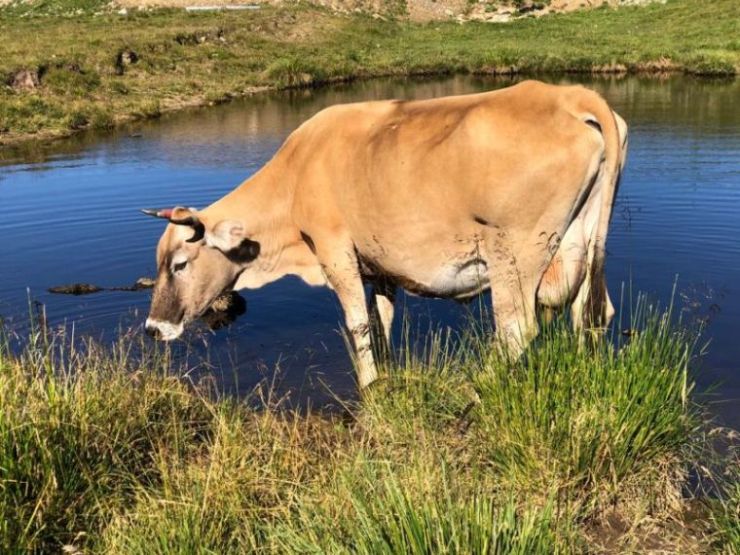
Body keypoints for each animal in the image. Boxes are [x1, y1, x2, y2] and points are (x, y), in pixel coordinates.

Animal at [142, 80, 628, 388]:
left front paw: (370, 386)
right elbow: (382, 321)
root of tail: (569, 95)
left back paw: (478, 386)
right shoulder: (379, 267)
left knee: (517, 329)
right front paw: (389, 376)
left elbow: (358, 323)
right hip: (581, 242)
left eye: (180, 264)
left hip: (516, 254)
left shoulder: (335, 250)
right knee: (591, 312)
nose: (152, 329)